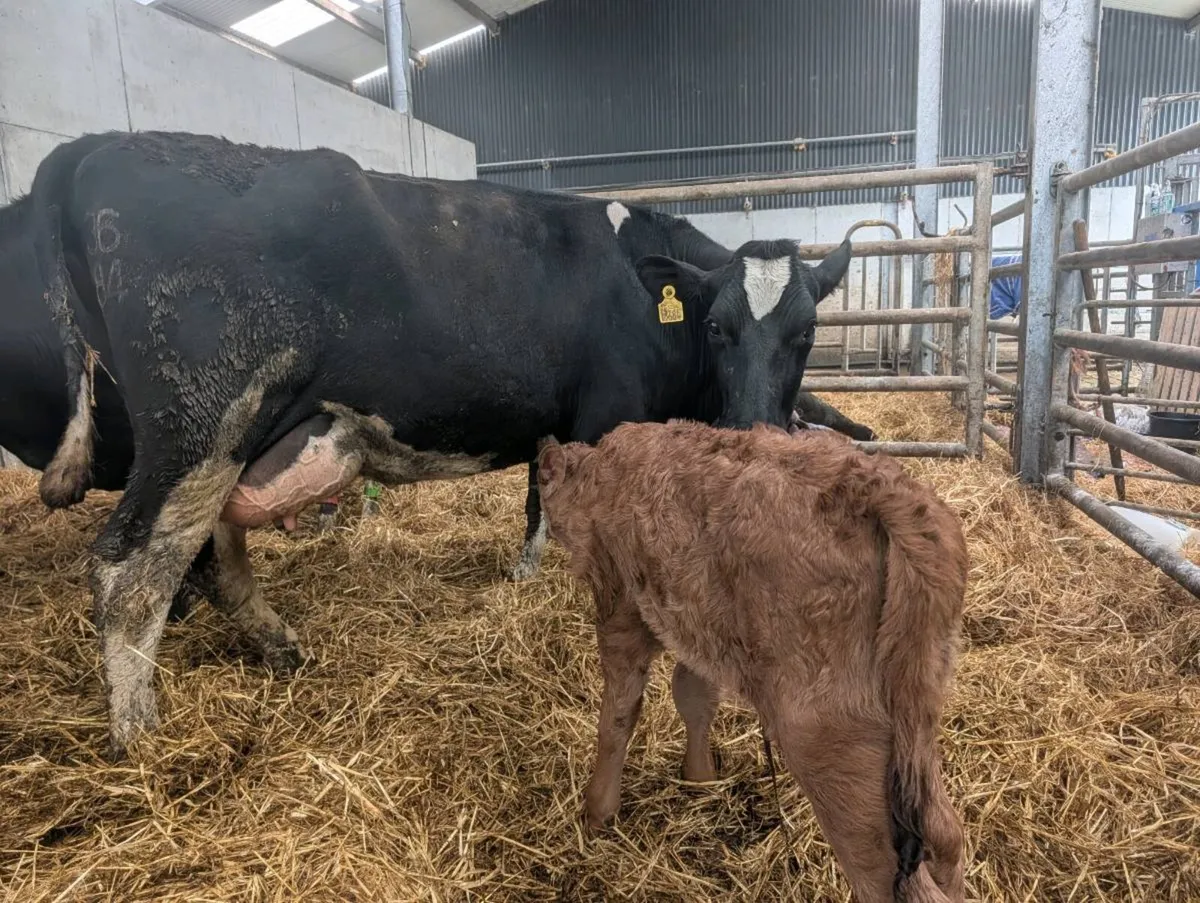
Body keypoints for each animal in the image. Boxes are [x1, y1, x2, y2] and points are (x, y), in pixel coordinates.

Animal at [27, 129, 858, 757]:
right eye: (717, 327)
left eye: (807, 331)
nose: (755, 423)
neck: (638, 287)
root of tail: (100, 144)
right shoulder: (604, 418)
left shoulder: (555, 425)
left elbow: (537, 507)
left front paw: (524, 578)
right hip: (199, 427)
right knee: (130, 572)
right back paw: (140, 738)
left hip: (231, 445)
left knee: (212, 558)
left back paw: (283, 648)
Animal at [535, 420, 968, 903]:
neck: (598, 475)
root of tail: (883, 492)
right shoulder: (697, 623)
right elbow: (694, 694)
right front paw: (700, 777)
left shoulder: (621, 601)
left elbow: (618, 713)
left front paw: (596, 811)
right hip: (916, 718)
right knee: (946, 836)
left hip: (827, 731)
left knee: (885, 872)